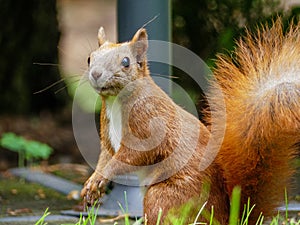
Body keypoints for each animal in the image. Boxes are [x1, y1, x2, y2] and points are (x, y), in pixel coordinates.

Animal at [80, 19, 300, 225]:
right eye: (90, 58)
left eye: (126, 61)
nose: (96, 74)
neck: (116, 100)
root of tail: (223, 217)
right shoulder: (107, 133)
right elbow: (106, 156)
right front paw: (92, 184)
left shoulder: (150, 123)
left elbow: (133, 155)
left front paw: (102, 177)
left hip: (164, 196)